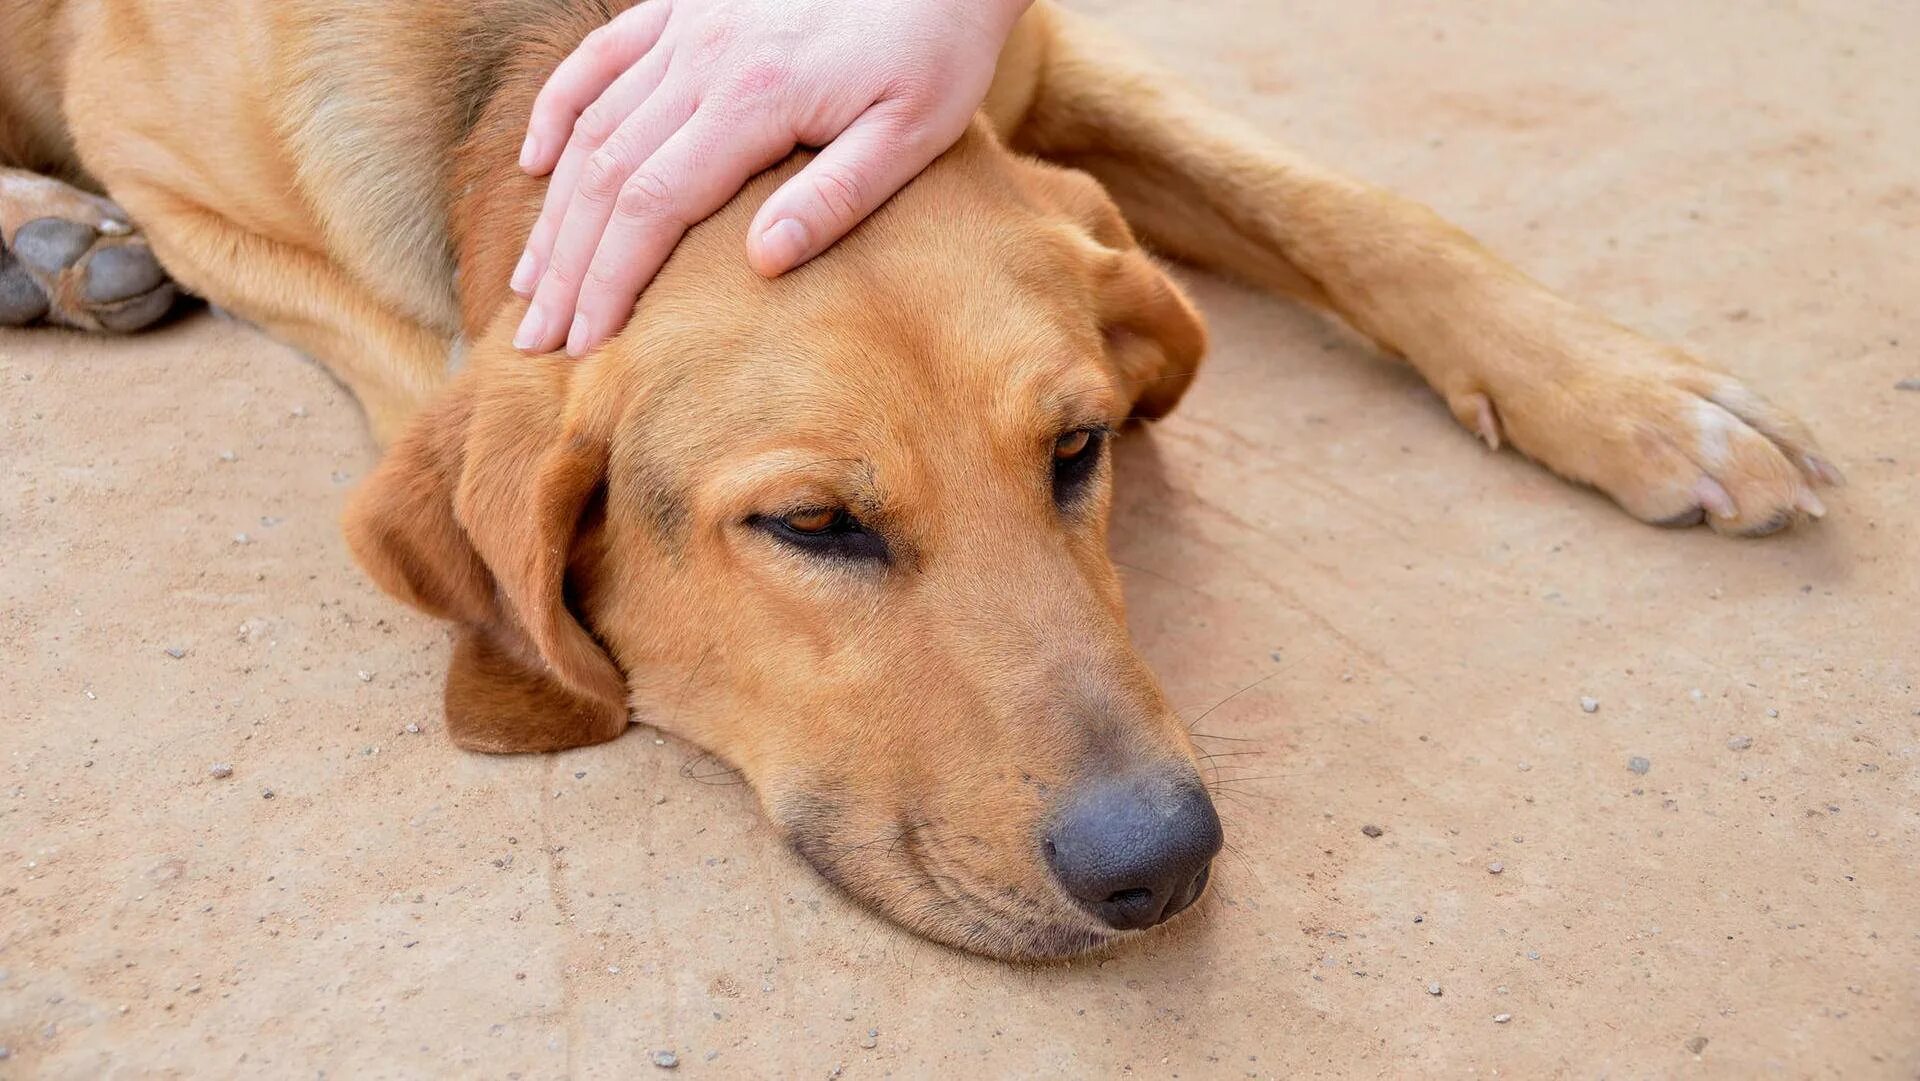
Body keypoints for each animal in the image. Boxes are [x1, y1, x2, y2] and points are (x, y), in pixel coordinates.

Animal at [0, 0, 1835, 963]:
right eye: (812, 526)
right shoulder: (179, 168)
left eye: (1078, 452)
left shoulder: (1009, 58)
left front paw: (1641, 396)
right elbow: (421, 362)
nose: (1162, 862)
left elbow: (1347, 206)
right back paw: (51, 241)